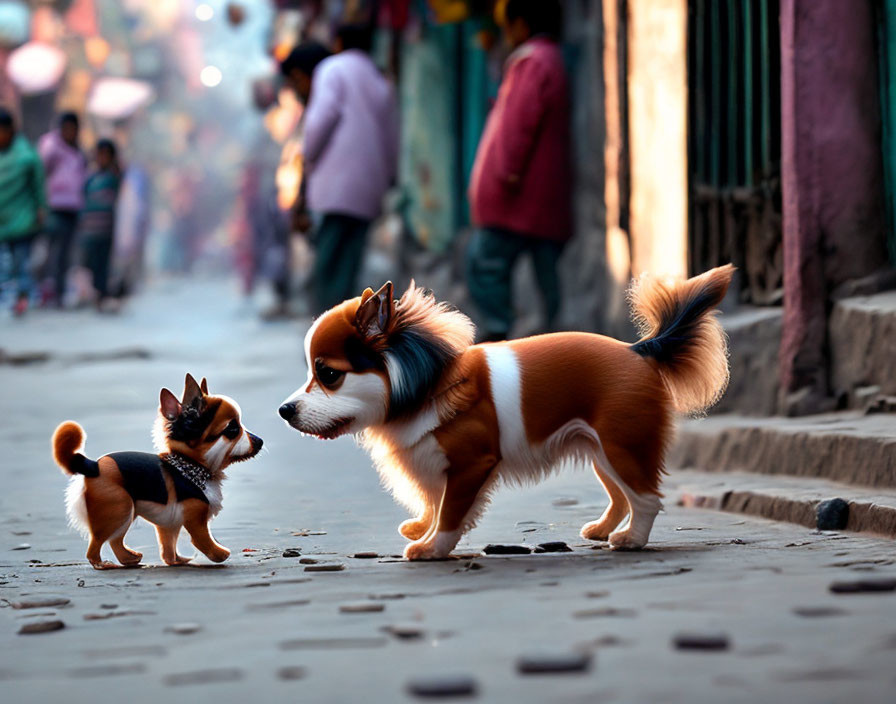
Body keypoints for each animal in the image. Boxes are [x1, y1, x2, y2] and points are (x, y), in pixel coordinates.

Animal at [51, 374, 262, 568]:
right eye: (232, 430)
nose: (260, 441)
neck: (189, 466)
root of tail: (93, 466)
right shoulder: (195, 519)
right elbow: (203, 540)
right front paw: (220, 554)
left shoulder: (169, 524)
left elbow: (168, 548)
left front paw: (177, 561)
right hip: (118, 509)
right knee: (96, 545)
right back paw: (103, 564)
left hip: (122, 514)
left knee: (115, 541)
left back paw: (130, 559)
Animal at [282, 266, 736, 560]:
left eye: (328, 374)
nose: (284, 410)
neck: (426, 383)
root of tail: (638, 350)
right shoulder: (437, 464)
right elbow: (435, 504)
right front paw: (423, 530)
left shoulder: (470, 464)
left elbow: (450, 512)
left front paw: (432, 548)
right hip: (602, 451)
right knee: (623, 495)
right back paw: (605, 529)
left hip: (622, 447)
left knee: (646, 499)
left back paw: (632, 540)